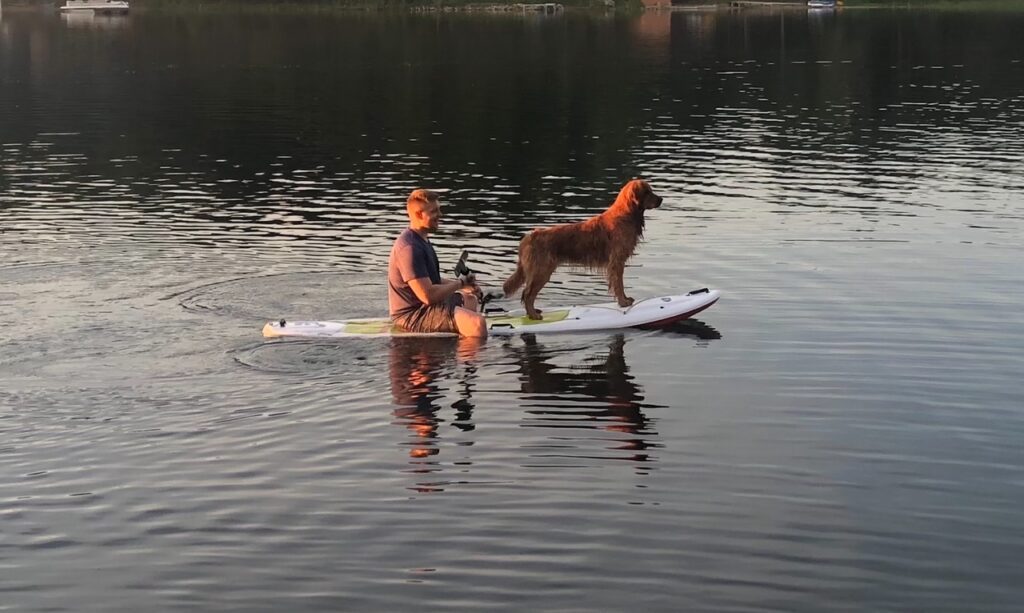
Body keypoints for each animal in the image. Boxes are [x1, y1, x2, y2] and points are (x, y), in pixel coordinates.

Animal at [501, 179, 663, 319]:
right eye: (647, 192)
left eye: (651, 190)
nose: (661, 199)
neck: (627, 215)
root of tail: (528, 237)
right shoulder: (617, 262)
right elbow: (619, 285)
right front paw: (623, 302)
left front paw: (624, 300)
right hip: (541, 272)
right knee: (527, 294)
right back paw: (534, 315)